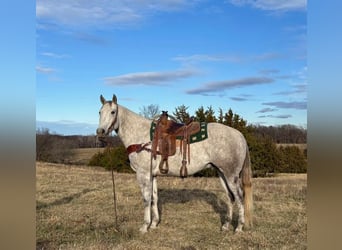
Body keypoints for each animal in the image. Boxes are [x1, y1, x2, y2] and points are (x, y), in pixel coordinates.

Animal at [96, 94, 254, 233]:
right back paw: (226, 225)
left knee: (239, 197)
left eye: (113, 112)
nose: (100, 132)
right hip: (221, 173)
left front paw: (145, 226)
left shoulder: (143, 174)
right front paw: (154, 224)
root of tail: (240, 136)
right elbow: (154, 198)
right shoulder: (152, 175)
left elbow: (146, 199)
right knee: (230, 197)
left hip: (231, 175)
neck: (141, 136)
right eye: (99, 112)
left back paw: (239, 227)